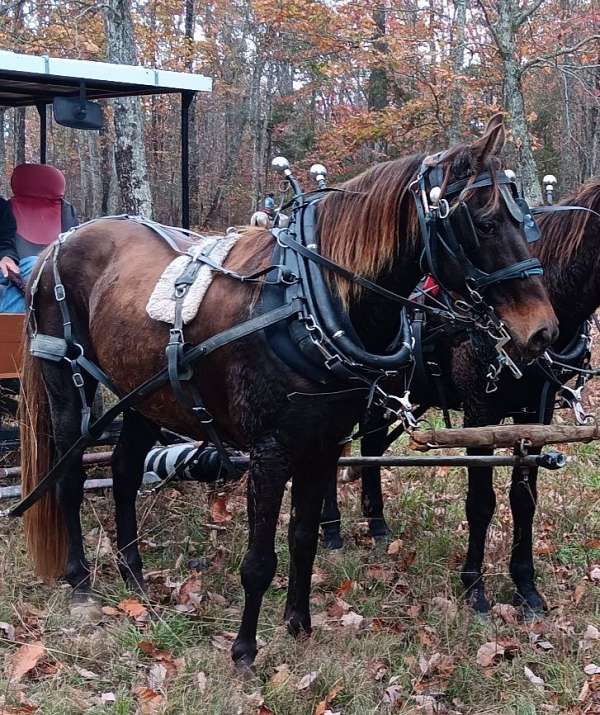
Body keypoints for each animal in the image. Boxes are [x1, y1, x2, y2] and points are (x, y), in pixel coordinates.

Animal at [17, 117, 556, 672]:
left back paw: (133, 573)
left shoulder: (323, 443)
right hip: (68, 384)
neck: (306, 298)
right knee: (69, 476)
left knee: (124, 471)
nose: (542, 331)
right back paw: (81, 581)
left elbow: (303, 537)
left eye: (526, 221)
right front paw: (244, 650)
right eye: (485, 222)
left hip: (143, 395)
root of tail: (59, 244)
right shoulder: (271, 451)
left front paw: (299, 625)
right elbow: (259, 560)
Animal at [322, 178, 600, 616]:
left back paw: (378, 524)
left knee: (370, 445)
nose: (541, 332)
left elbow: (524, 499)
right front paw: (474, 588)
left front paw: (526, 587)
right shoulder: (479, 414)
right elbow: (481, 502)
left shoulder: (535, 416)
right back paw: (331, 529)